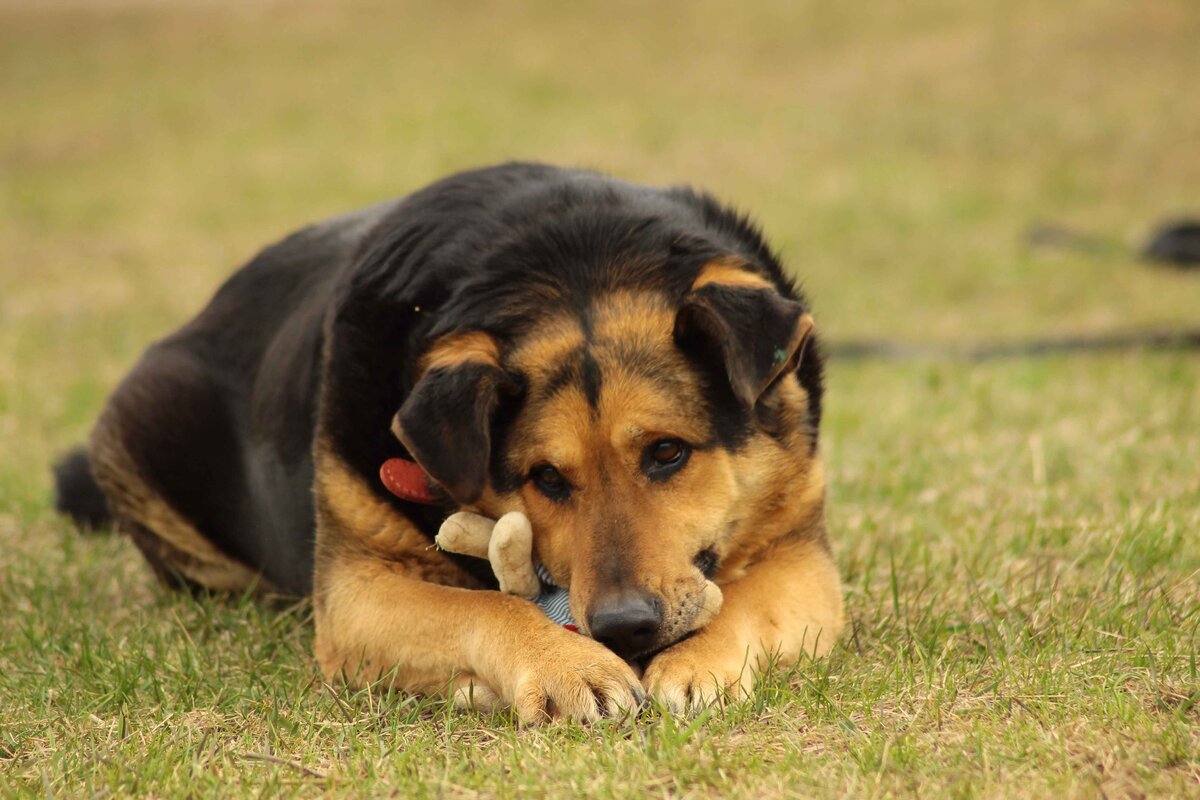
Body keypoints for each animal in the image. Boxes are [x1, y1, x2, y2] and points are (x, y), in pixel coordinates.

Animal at [54, 160, 844, 719]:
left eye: (668, 453)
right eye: (546, 479)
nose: (624, 629)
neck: (572, 259)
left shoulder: (802, 555)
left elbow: (740, 599)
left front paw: (701, 662)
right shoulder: (357, 592)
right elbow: (484, 604)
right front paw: (566, 665)